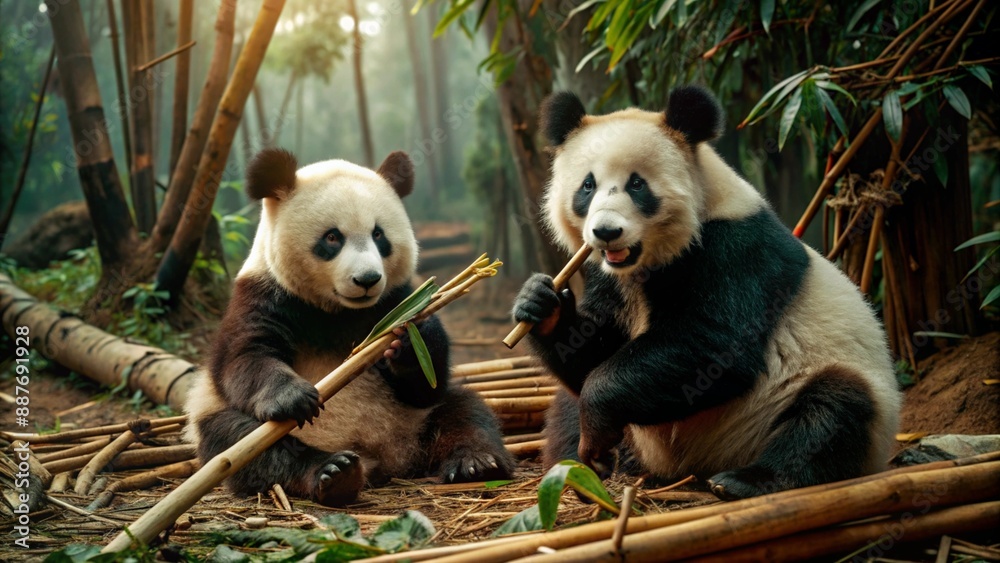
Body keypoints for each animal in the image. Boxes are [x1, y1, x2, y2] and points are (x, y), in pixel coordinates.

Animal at [185, 148, 515, 507]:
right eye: (332, 237)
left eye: (378, 235)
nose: (367, 279)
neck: (338, 311)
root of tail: (384, 458)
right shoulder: (264, 295)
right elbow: (244, 356)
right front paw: (293, 397)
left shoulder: (393, 299)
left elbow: (428, 382)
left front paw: (408, 344)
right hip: (231, 427)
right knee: (240, 442)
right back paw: (333, 473)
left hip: (416, 420)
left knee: (464, 411)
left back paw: (476, 463)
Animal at [513, 86, 902, 500]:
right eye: (587, 186)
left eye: (637, 184)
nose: (606, 232)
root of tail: (687, 469)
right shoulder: (609, 277)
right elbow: (595, 348)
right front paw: (542, 305)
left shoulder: (736, 249)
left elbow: (716, 350)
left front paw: (598, 427)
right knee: (565, 406)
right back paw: (578, 464)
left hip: (829, 388)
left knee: (832, 410)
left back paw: (744, 480)